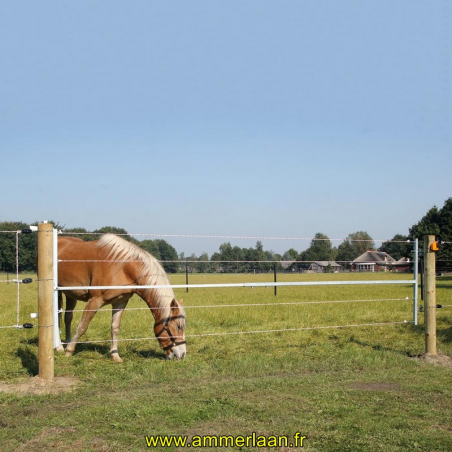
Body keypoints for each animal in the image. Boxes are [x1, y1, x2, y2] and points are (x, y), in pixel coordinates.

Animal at [57, 235, 185, 362]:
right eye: (178, 327)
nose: (182, 355)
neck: (122, 267)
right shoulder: (95, 301)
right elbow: (82, 326)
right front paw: (69, 351)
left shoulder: (120, 302)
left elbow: (115, 328)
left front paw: (115, 355)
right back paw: (60, 347)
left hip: (70, 294)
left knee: (67, 317)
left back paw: (66, 341)